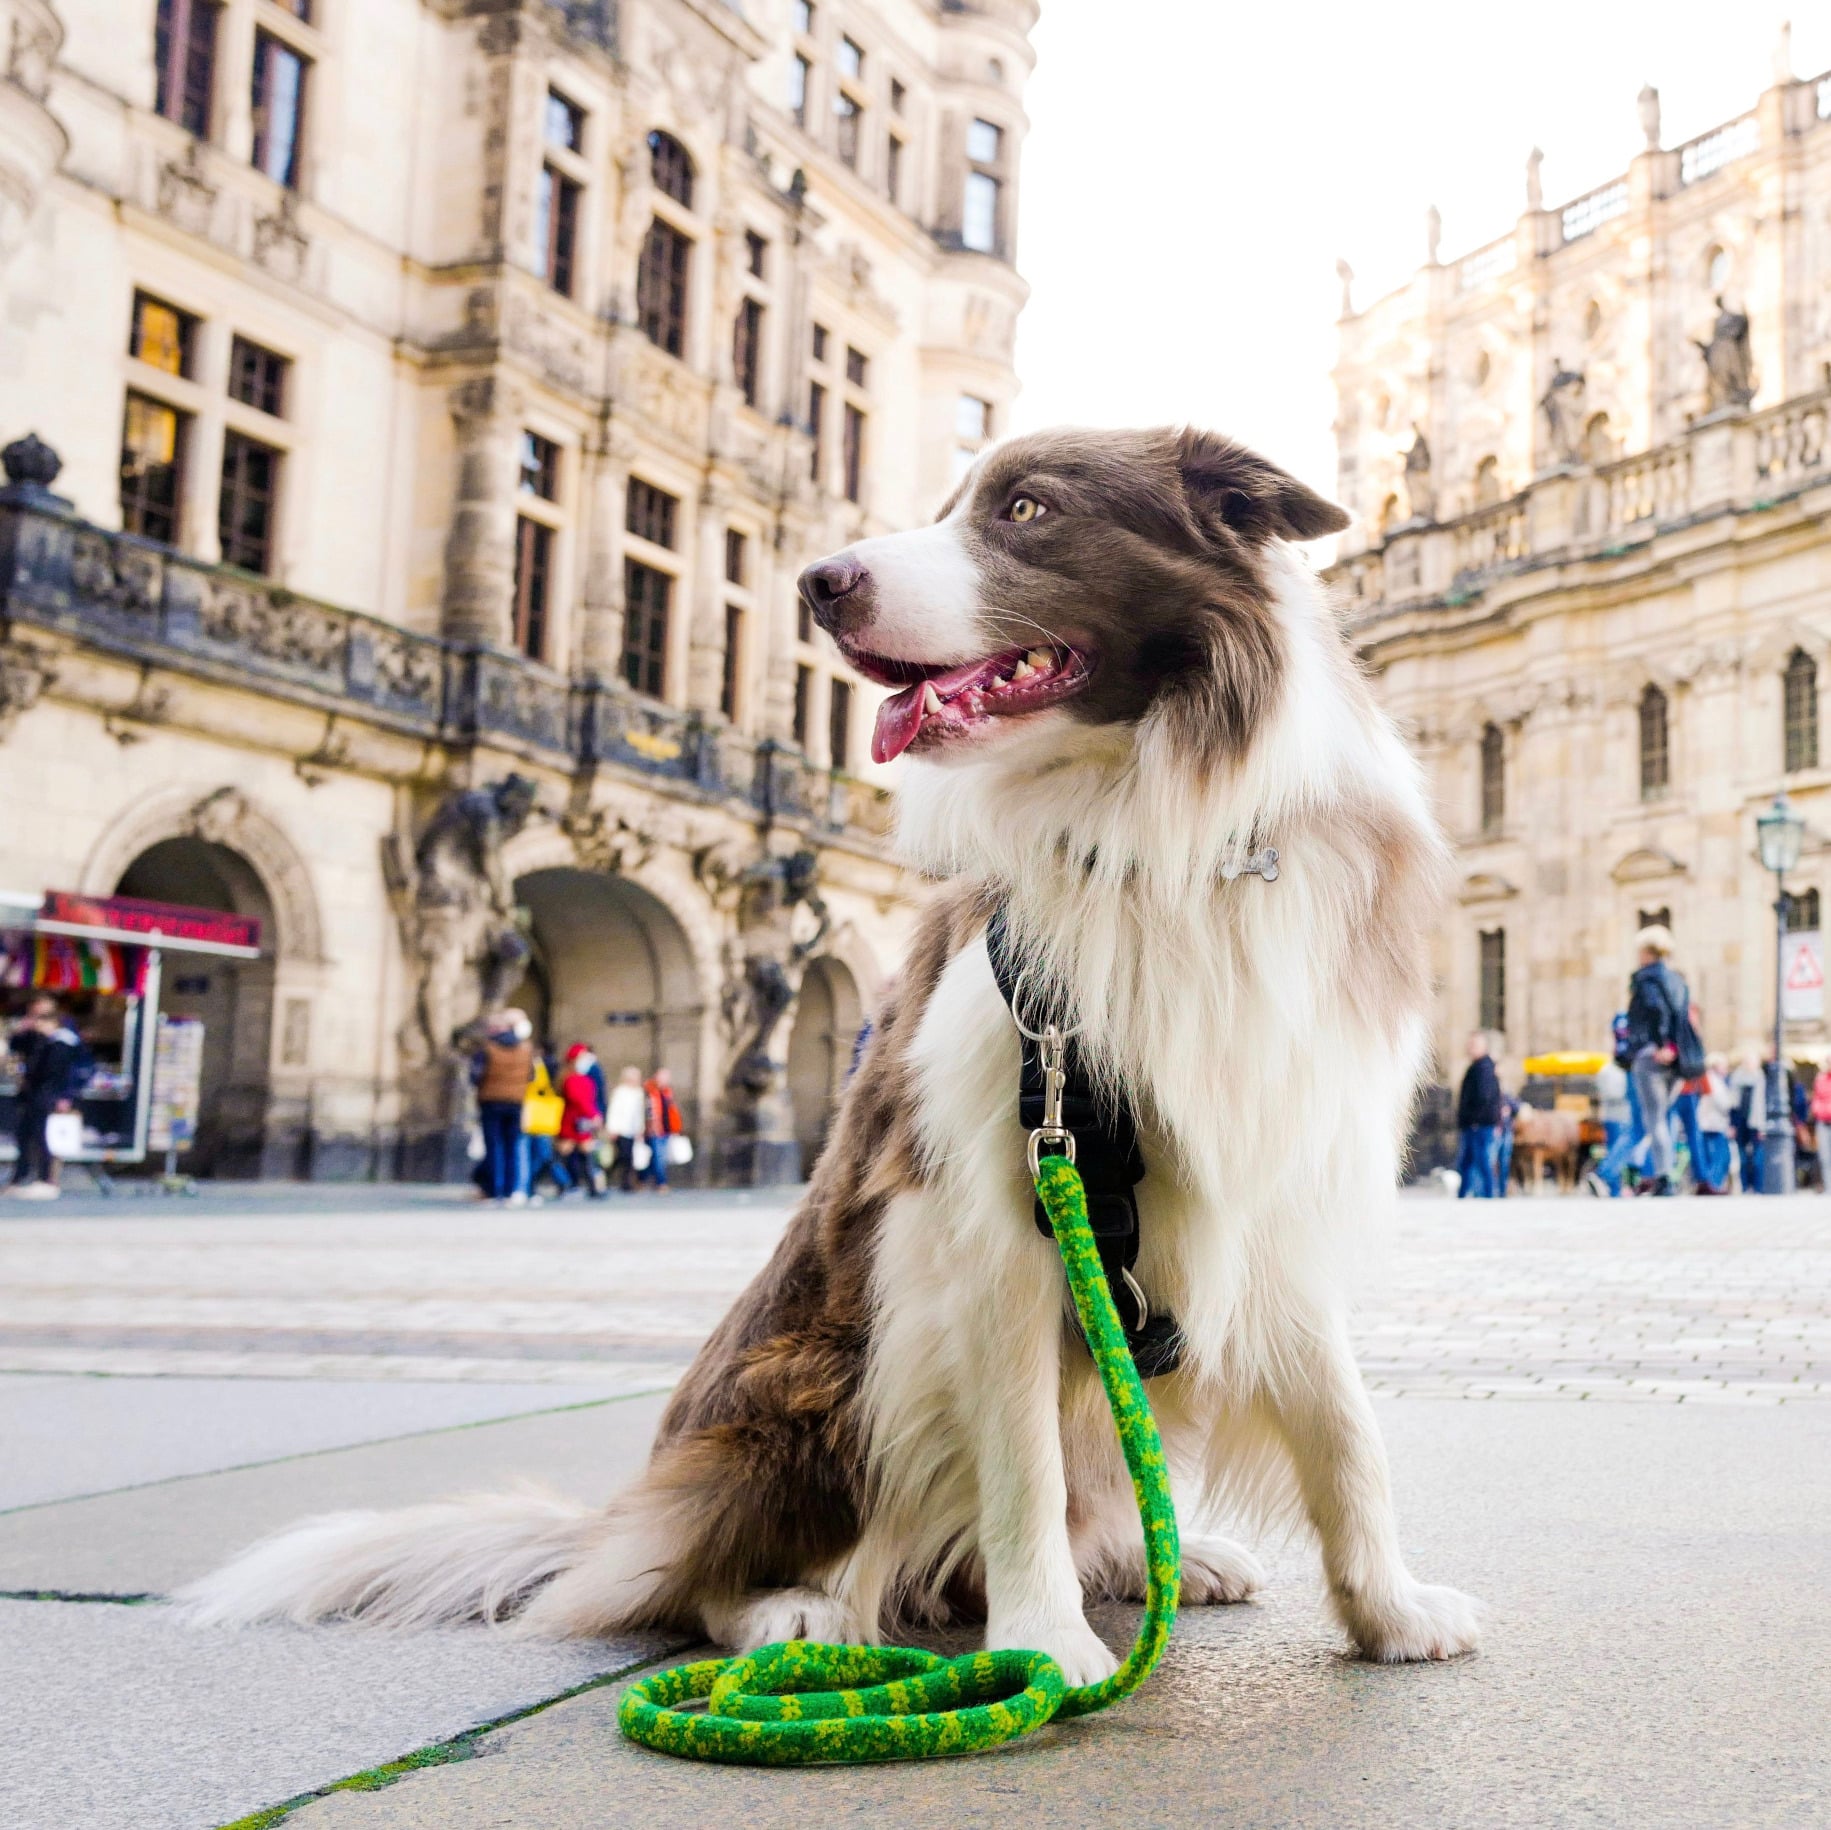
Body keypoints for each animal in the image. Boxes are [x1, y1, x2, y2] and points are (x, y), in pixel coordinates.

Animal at [182, 421, 1472, 1677]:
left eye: (1027, 509)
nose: (815, 583)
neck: (1143, 821)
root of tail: (632, 1520)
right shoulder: (995, 1218)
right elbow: (1022, 1468)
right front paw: (1046, 1652)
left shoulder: (1279, 1172)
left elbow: (1345, 1430)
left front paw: (1388, 1611)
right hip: (851, 1359)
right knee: (714, 1582)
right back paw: (796, 1615)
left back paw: (1166, 1559)